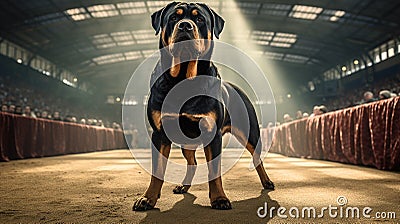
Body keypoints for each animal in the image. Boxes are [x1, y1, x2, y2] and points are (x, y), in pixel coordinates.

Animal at [133, 1, 274, 211]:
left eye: (199, 18)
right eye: (174, 17)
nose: (185, 25)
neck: (183, 79)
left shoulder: (212, 134)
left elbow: (214, 171)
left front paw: (220, 199)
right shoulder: (159, 133)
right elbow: (157, 170)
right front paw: (147, 198)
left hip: (250, 132)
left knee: (257, 157)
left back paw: (267, 182)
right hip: (186, 143)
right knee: (192, 162)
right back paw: (183, 186)